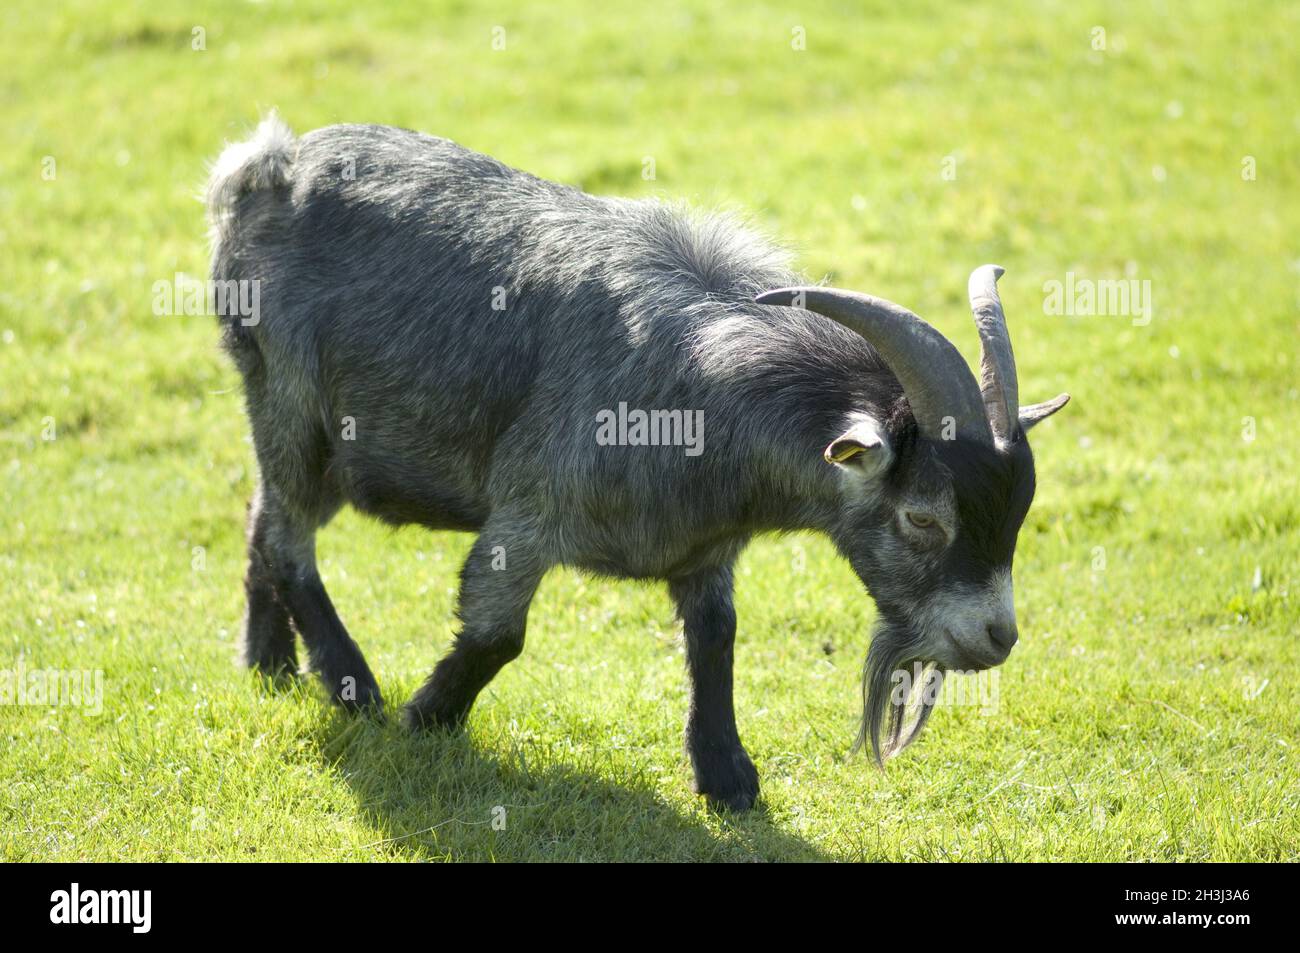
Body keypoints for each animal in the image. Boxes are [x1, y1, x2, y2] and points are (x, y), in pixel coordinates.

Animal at [207, 114, 1069, 811]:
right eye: (923, 516)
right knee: (286, 536)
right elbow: (496, 634)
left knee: (259, 514)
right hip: (291, 402)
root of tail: (264, 165)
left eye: (1019, 512)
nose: (997, 637)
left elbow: (716, 634)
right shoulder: (528, 511)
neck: (692, 393)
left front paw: (727, 775)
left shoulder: (706, 545)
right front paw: (424, 717)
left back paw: (268, 661)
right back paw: (351, 684)